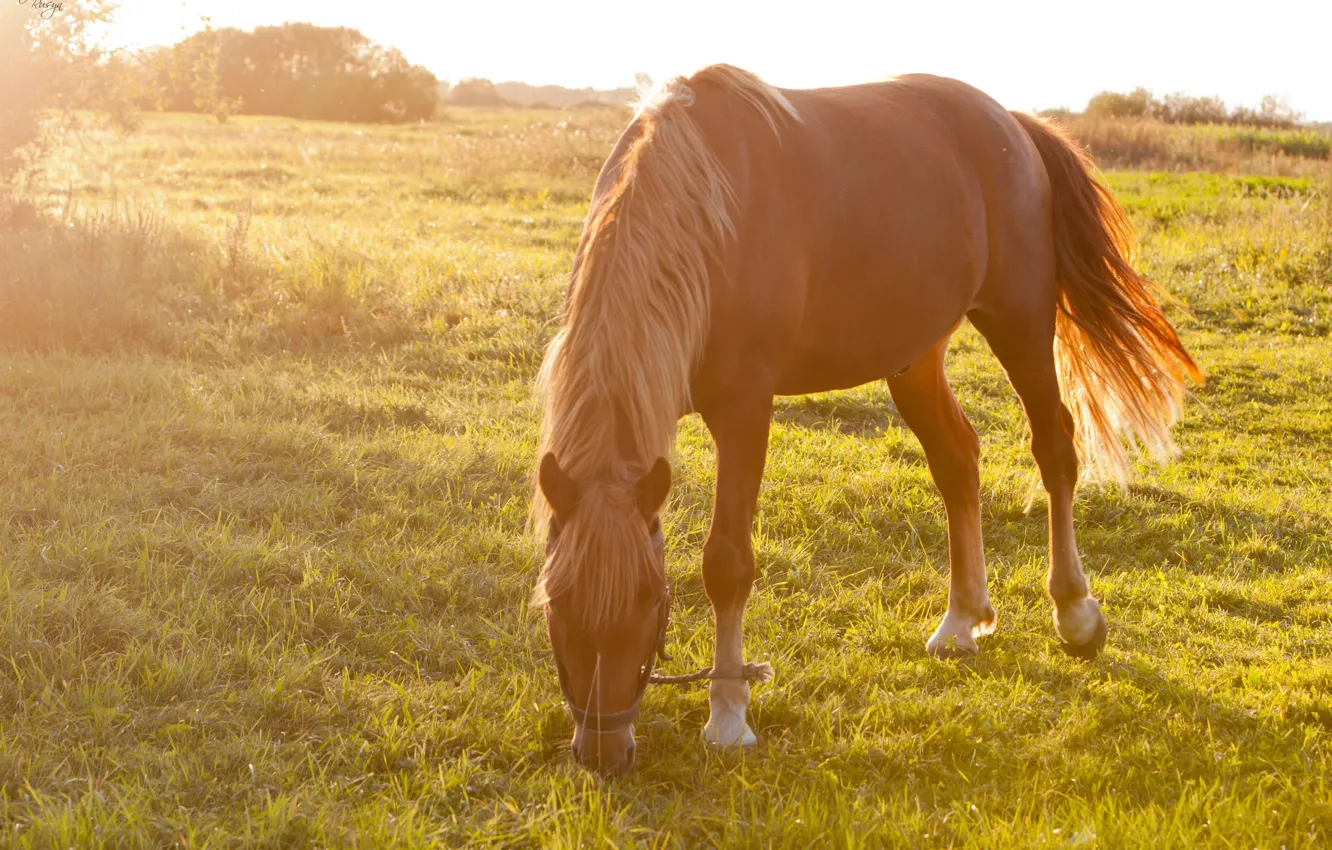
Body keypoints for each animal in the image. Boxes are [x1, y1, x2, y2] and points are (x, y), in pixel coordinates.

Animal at [531, 65, 1201, 775]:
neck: (702, 219)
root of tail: (1013, 124)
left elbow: (726, 564)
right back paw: (962, 619)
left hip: (1019, 324)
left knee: (1055, 451)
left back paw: (1075, 613)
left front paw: (729, 715)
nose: (603, 750)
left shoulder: (745, 410)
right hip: (915, 361)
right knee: (957, 461)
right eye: (556, 602)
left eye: (647, 601)